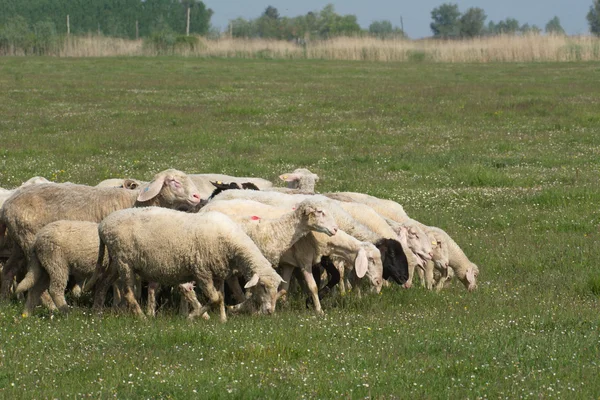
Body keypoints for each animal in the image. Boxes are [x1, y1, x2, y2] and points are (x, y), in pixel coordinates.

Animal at [0, 167, 202, 298]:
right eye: (173, 182)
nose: (197, 197)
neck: (135, 202)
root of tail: (7, 205)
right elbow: (122, 282)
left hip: (18, 243)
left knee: (8, 271)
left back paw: (5, 301)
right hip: (30, 241)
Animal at [93, 209, 284, 322]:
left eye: (276, 288)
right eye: (263, 286)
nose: (270, 311)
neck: (231, 243)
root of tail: (103, 225)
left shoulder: (218, 273)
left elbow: (221, 297)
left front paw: (222, 319)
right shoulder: (202, 271)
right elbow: (214, 298)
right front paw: (193, 316)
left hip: (116, 261)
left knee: (102, 284)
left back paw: (98, 313)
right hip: (124, 262)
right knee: (128, 293)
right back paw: (142, 317)